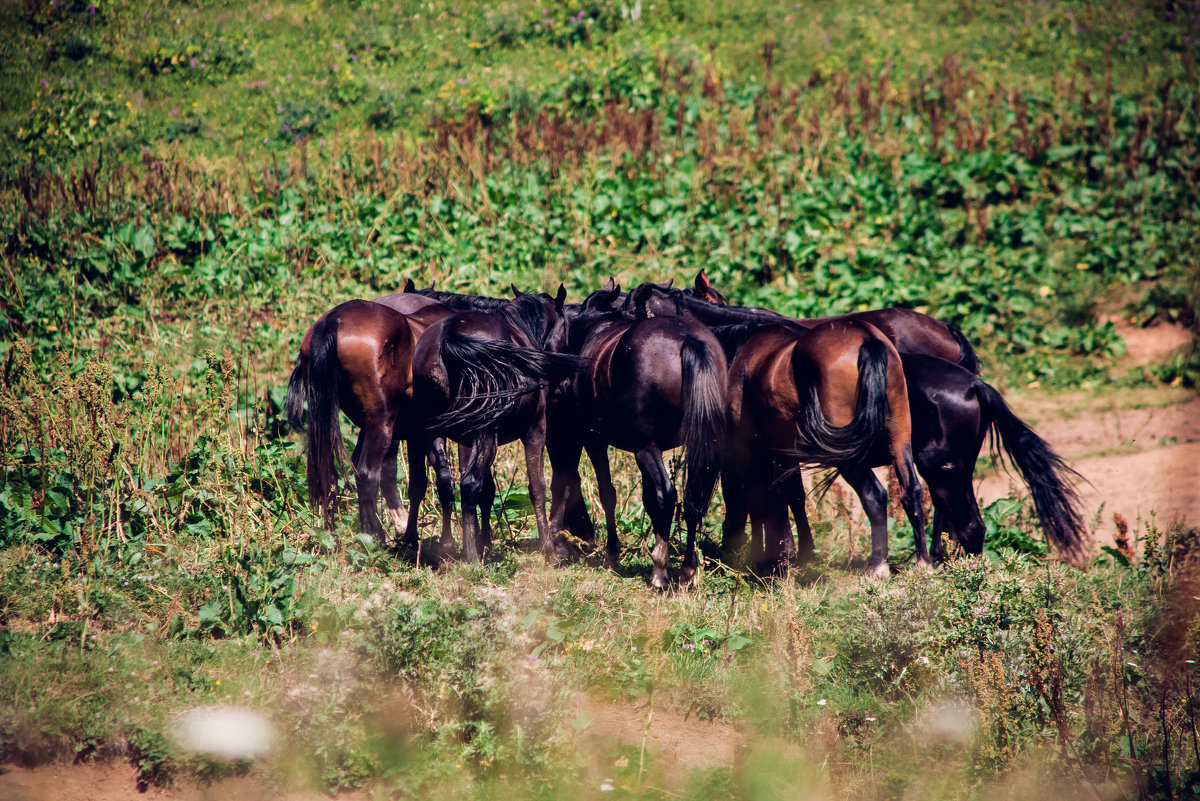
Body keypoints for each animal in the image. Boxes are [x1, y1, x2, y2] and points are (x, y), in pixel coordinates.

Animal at [403, 287, 585, 563]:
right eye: (566, 329)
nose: (563, 385)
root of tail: (448, 339)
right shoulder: (535, 430)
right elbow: (537, 487)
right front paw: (547, 549)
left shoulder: (468, 440)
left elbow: (487, 491)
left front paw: (484, 542)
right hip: (486, 434)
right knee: (468, 485)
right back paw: (470, 556)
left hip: (437, 432)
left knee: (446, 482)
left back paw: (448, 546)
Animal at [549, 282, 724, 587]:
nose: (554, 389)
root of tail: (689, 340)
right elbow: (648, 499)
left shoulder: (596, 440)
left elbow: (608, 492)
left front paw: (612, 554)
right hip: (698, 444)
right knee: (693, 499)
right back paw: (688, 569)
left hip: (645, 447)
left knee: (667, 495)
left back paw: (659, 570)